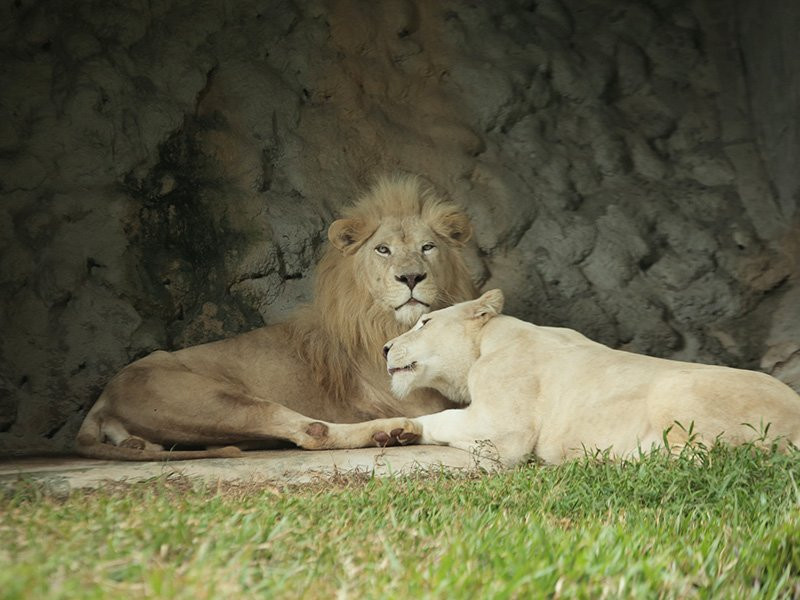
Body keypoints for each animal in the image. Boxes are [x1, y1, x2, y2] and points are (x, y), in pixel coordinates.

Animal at [76, 173, 476, 460]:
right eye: (383, 250)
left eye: (428, 247)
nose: (411, 277)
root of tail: (104, 397)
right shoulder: (419, 399)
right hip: (214, 400)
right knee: (312, 432)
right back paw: (391, 431)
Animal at [368, 288, 800, 466]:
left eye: (424, 322)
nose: (385, 348)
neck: (488, 341)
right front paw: (395, 432)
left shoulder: (506, 415)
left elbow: (462, 423)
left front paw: (405, 429)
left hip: (678, 385)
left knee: (706, 454)